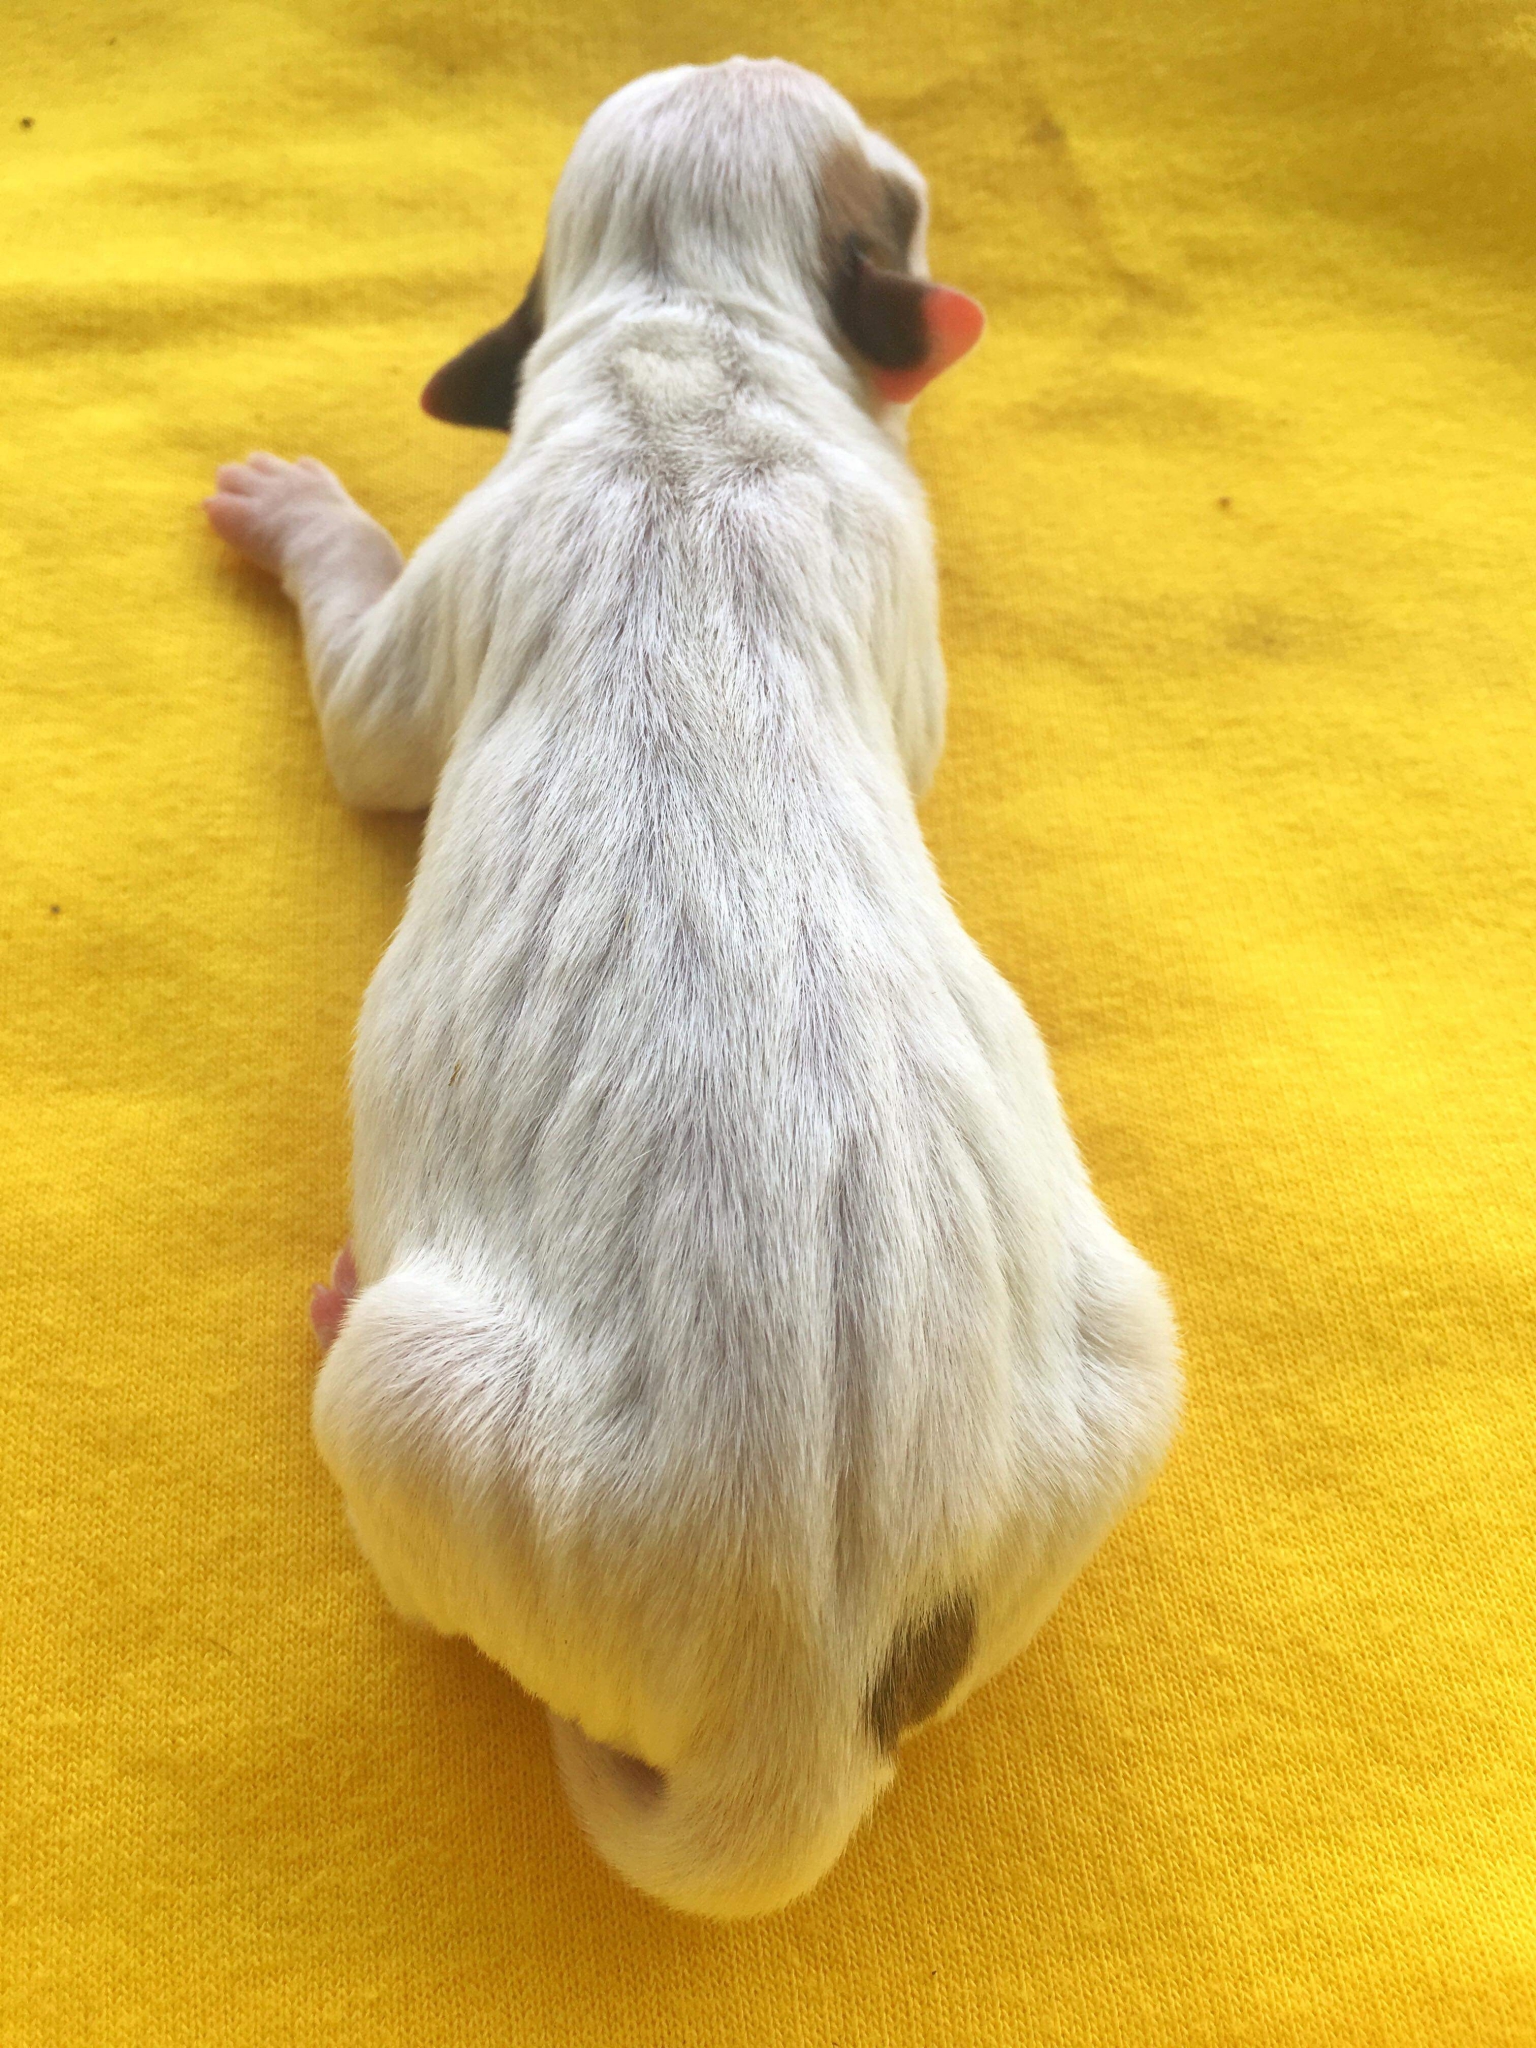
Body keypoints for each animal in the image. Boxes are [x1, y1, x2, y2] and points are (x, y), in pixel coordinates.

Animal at [205, 58, 1180, 1919]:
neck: (693, 347)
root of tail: (799, 1725)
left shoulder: (445, 589)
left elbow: (366, 716)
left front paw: (295, 507)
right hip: (1125, 1359)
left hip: (418, 1412)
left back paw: (336, 1312)